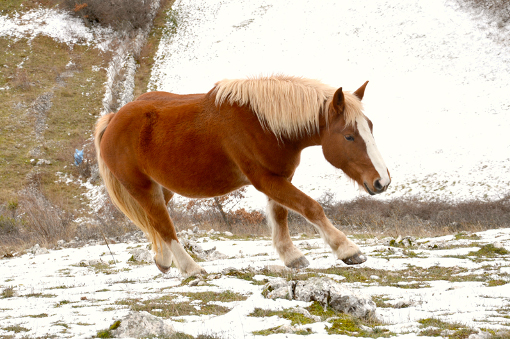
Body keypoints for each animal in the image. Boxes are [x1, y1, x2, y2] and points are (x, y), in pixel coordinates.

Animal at [94, 75, 390, 278]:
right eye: (349, 136)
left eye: (371, 127)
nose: (382, 181)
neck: (263, 124)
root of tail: (114, 118)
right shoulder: (265, 179)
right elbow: (311, 207)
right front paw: (348, 250)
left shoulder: (280, 177)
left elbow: (280, 215)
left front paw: (291, 257)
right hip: (143, 188)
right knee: (164, 226)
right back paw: (190, 268)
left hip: (161, 188)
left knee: (155, 222)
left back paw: (164, 261)